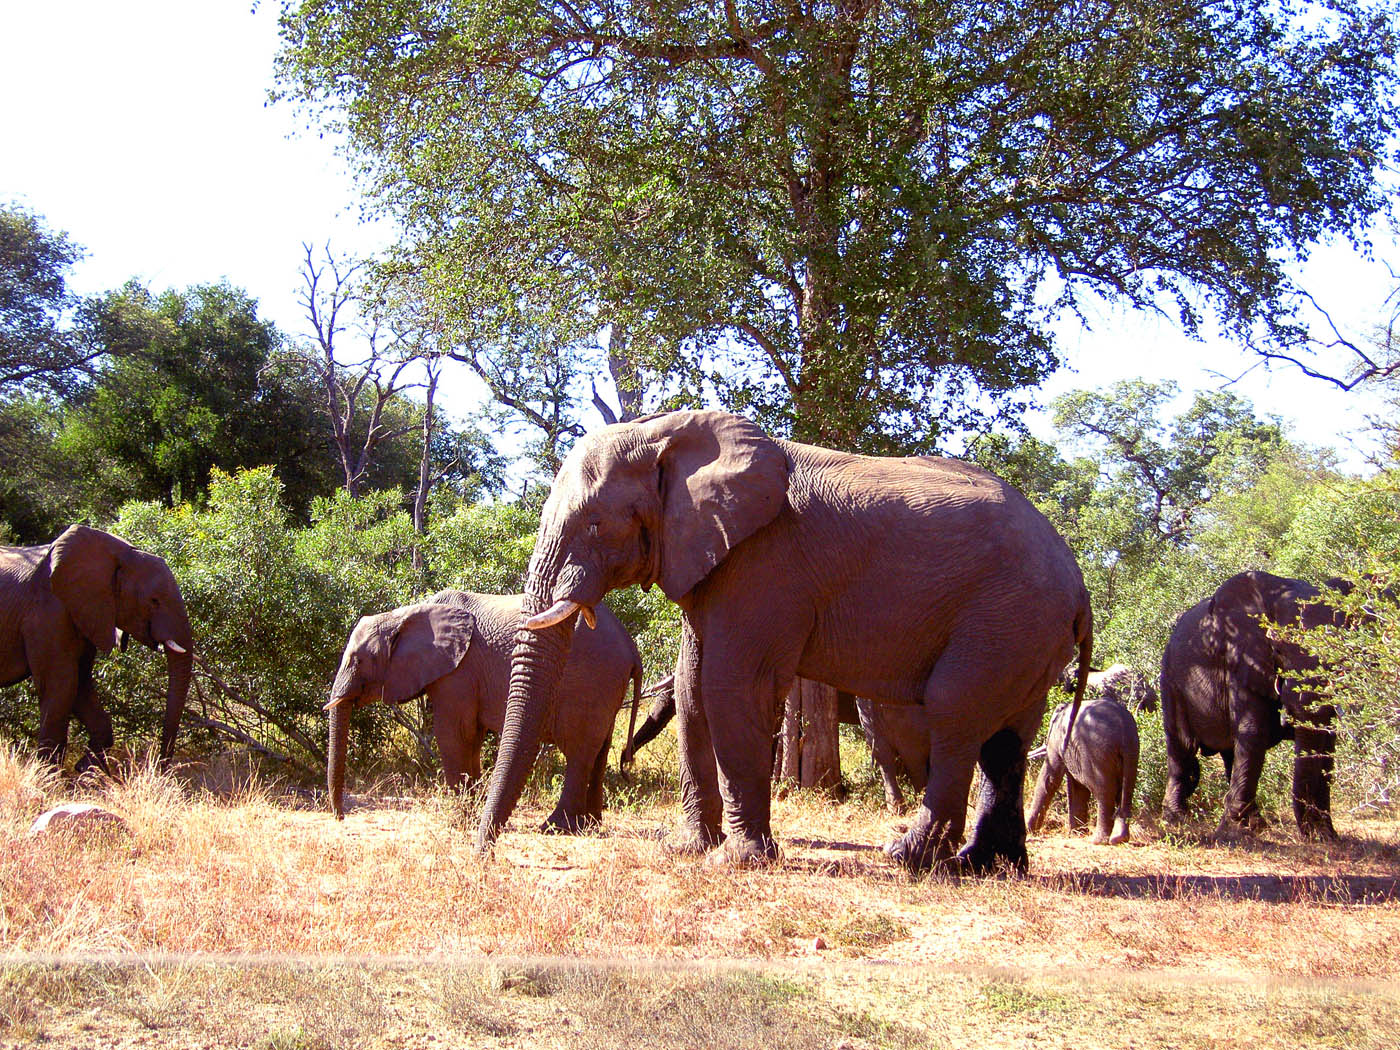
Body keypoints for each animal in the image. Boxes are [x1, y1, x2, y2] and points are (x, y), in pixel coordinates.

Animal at [0, 526, 194, 772]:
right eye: (154, 601)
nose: (160, 768)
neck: (117, 554)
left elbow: (81, 686)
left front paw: (85, 769)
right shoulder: (47, 614)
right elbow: (61, 686)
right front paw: (47, 777)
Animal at [324, 593, 641, 828]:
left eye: (359, 660)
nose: (341, 818)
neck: (403, 614)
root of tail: (631, 647)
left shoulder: (459, 672)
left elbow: (454, 734)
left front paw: (458, 820)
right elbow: (472, 738)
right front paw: (472, 810)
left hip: (589, 681)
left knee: (578, 751)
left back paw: (556, 827)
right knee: (600, 750)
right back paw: (591, 825)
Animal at [476, 408, 1086, 873]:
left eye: (596, 525)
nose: (485, 851)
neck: (666, 433)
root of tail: (1080, 589)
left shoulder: (764, 564)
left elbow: (730, 687)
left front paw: (734, 863)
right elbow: (695, 690)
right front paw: (687, 850)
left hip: (1006, 619)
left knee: (954, 715)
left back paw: (909, 858)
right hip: (1024, 633)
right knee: (1006, 738)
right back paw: (988, 867)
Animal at [1024, 700, 1142, 845]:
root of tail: (1124, 729)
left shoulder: (1057, 740)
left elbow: (1050, 778)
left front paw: (1029, 830)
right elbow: (1077, 787)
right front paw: (1077, 833)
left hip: (1096, 753)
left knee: (1104, 792)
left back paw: (1098, 841)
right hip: (1132, 752)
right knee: (1126, 790)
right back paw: (1119, 839)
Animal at [1159, 571, 1344, 845]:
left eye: (1341, 653)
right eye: (1278, 649)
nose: (1310, 836)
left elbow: (1327, 741)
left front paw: (1326, 837)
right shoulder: (1240, 658)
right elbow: (1253, 731)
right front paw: (1234, 832)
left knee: (1229, 752)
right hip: (1171, 680)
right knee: (1182, 747)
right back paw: (1176, 820)